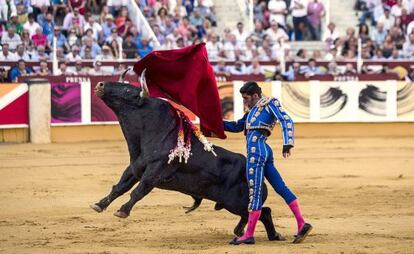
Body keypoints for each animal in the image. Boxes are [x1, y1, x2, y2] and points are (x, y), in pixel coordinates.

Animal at [90, 69, 284, 240]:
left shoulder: (155, 171)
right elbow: (119, 187)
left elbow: (139, 190)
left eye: (127, 90)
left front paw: (122, 211)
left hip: (236, 201)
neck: (154, 133)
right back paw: (245, 232)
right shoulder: (134, 167)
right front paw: (99, 204)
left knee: (262, 212)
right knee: (254, 213)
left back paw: (273, 235)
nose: (100, 84)